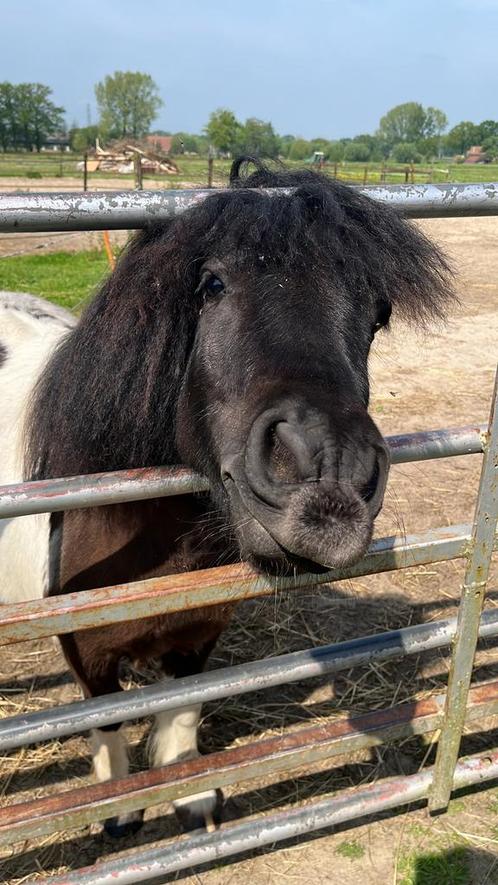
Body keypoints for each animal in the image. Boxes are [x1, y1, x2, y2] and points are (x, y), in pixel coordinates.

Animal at [0, 161, 452, 836]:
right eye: (211, 285)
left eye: (379, 313)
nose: (330, 487)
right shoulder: (87, 658)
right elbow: (105, 721)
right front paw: (119, 812)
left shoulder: (197, 638)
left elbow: (183, 708)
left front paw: (190, 798)